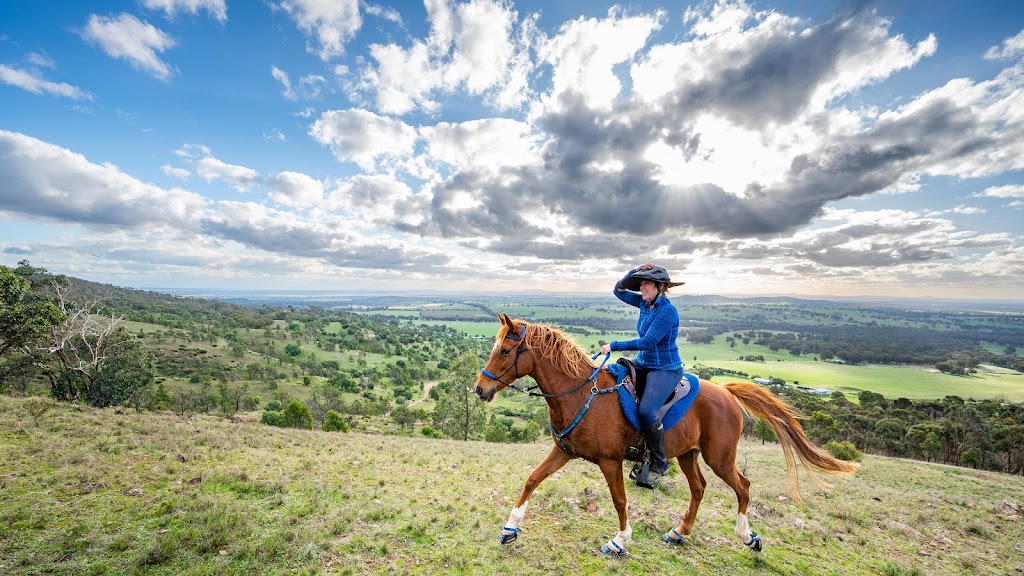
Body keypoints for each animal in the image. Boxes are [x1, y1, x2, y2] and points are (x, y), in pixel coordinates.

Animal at [475, 311, 860, 553]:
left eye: (505, 350)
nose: (480, 389)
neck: (583, 394)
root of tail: (727, 393)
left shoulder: (610, 461)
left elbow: (619, 500)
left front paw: (620, 541)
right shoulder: (563, 452)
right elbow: (532, 479)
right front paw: (510, 528)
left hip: (719, 457)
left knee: (743, 486)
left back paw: (747, 536)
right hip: (689, 455)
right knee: (700, 488)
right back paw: (680, 532)